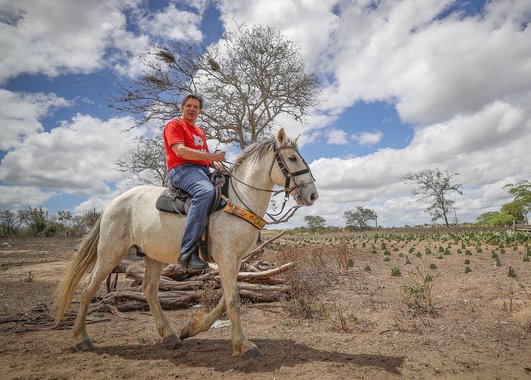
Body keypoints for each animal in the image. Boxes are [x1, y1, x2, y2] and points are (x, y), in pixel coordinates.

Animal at [54, 129, 318, 358]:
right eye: (292, 158)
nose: (313, 195)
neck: (238, 199)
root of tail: (111, 204)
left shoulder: (234, 261)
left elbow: (225, 299)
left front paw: (193, 328)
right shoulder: (226, 258)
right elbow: (233, 300)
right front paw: (243, 345)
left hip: (153, 256)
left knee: (148, 290)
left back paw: (170, 335)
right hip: (111, 252)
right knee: (88, 288)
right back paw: (81, 339)